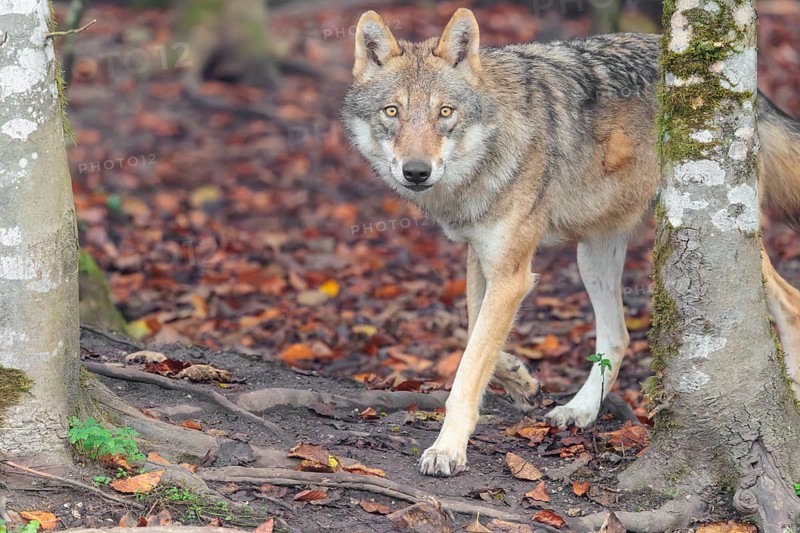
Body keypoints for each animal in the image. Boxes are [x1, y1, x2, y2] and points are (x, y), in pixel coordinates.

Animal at [340, 8, 800, 477]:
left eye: (444, 112)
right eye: (392, 112)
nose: (416, 171)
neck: (494, 141)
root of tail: (749, 92)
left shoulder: (512, 275)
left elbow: (469, 368)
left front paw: (448, 449)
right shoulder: (482, 259)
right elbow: (474, 333)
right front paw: (521, 381)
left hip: (728, 237)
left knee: (790, 301)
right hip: (592, 256)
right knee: (618, 336)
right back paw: (580, 411)